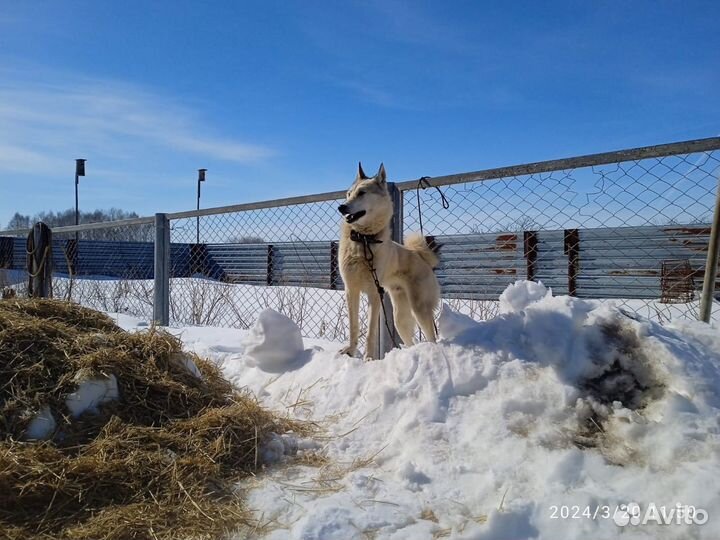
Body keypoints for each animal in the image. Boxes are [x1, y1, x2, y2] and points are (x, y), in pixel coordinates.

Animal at [336, 162, 438, 360]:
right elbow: (353, 327)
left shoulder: (374, 293)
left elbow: (370, 332)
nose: (341, 207)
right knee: (410, 340)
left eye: (362, 193)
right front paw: (350, 351)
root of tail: (420, 256)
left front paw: (368, 358)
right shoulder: (351, 290)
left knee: (432, 337)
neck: (364, 240)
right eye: (348, 193)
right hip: (400, 320)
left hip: (420, 309)